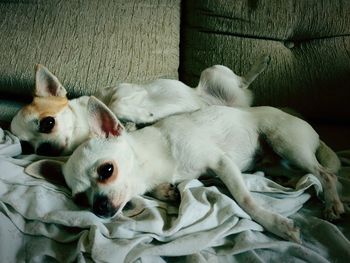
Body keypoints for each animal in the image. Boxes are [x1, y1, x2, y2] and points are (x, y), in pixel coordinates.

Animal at [10, 56, 268, 157]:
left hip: (213, 72)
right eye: (27, 147)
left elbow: (117, 103)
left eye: (48, 123)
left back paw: (259, 65)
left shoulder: (128, 92)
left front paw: (143, 116)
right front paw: (133, 125)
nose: (43, 149)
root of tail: (242, 104)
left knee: (242, 79)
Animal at [26, 97, 344, 243]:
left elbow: (246, 200)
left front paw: (276, 224)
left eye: (106, 170)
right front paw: (168, 191)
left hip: (283, 142)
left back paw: (332, 203)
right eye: (80, 199)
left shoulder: (222, 163)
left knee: (324, 173)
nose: (99, 207)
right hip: (276, 160)